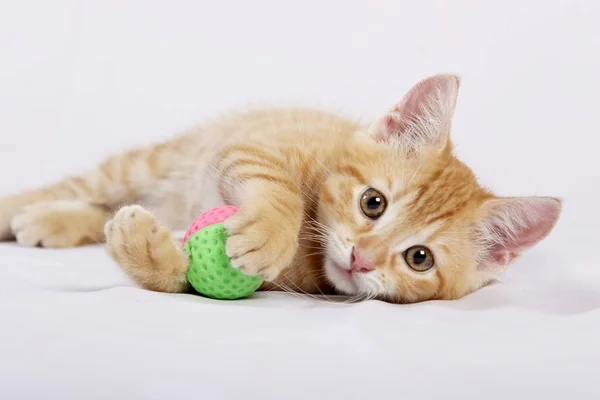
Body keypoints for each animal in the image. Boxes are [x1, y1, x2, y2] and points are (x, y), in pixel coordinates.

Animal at [0, 73, 560, 302]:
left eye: (419, 258)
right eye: (372, 203)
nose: (361, 258)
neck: (310, 255)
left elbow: (185, 277)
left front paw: (143, 248)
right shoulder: (248, 148)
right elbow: (277, 187)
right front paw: (270, 231)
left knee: (104, 204)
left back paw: (54, 221)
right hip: (154, 161)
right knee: (90, 183)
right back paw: (22, 210)